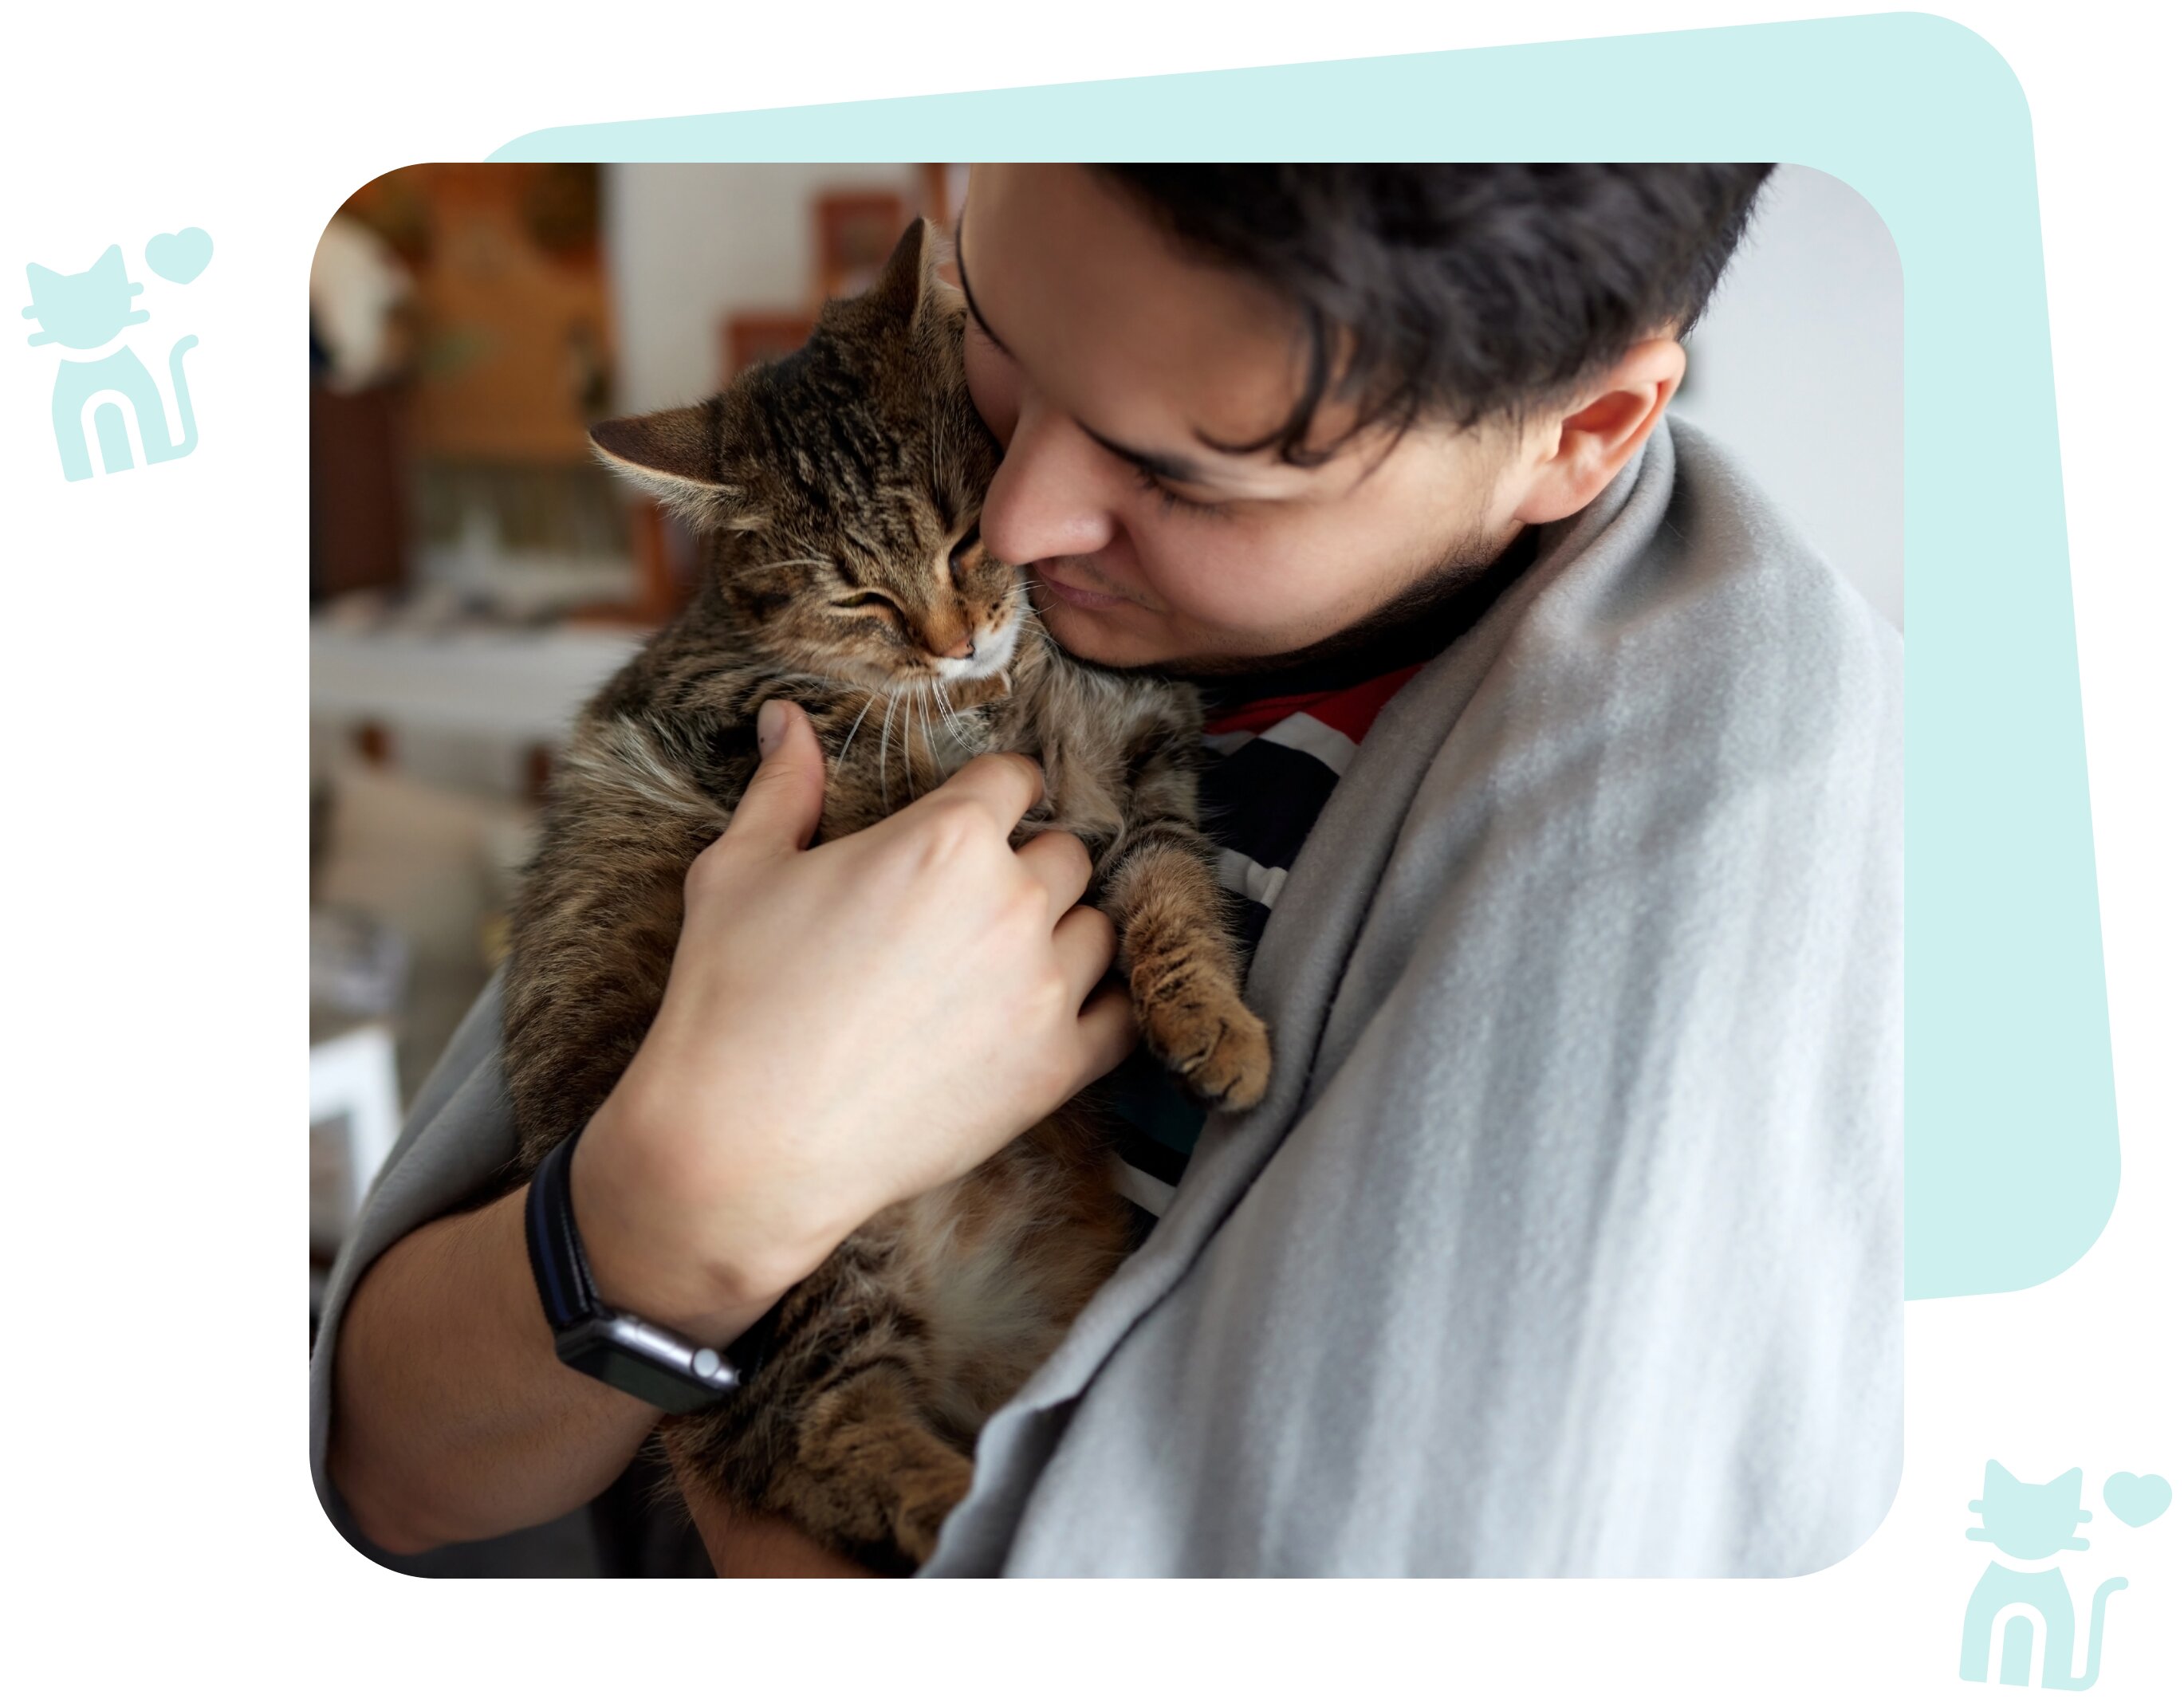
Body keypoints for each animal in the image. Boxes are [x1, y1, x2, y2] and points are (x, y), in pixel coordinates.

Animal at [502, 218, 1275, 1572]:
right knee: (812, 1435)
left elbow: (1173, 896)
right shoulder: (771, 733)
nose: (954, 634)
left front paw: (1212, 1025)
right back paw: (950, 1504)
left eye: (967, 535)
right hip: (801, 1272)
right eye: (856, 594)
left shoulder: (1149, 782)